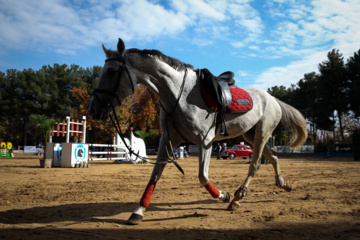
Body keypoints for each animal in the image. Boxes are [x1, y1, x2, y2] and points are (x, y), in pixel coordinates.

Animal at [88, 38, 308, 225]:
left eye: (111, 71)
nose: (93, 108)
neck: (179, 94)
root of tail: (272, 98)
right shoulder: (167, 140)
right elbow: (155, 175)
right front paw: (139, 210)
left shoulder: (205, 141)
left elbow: (203, 177)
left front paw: (224, 195)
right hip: (250, 135)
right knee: (274, 157)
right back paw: (283, 184)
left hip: (262, 133)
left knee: (255, 166)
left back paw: (237, 197)